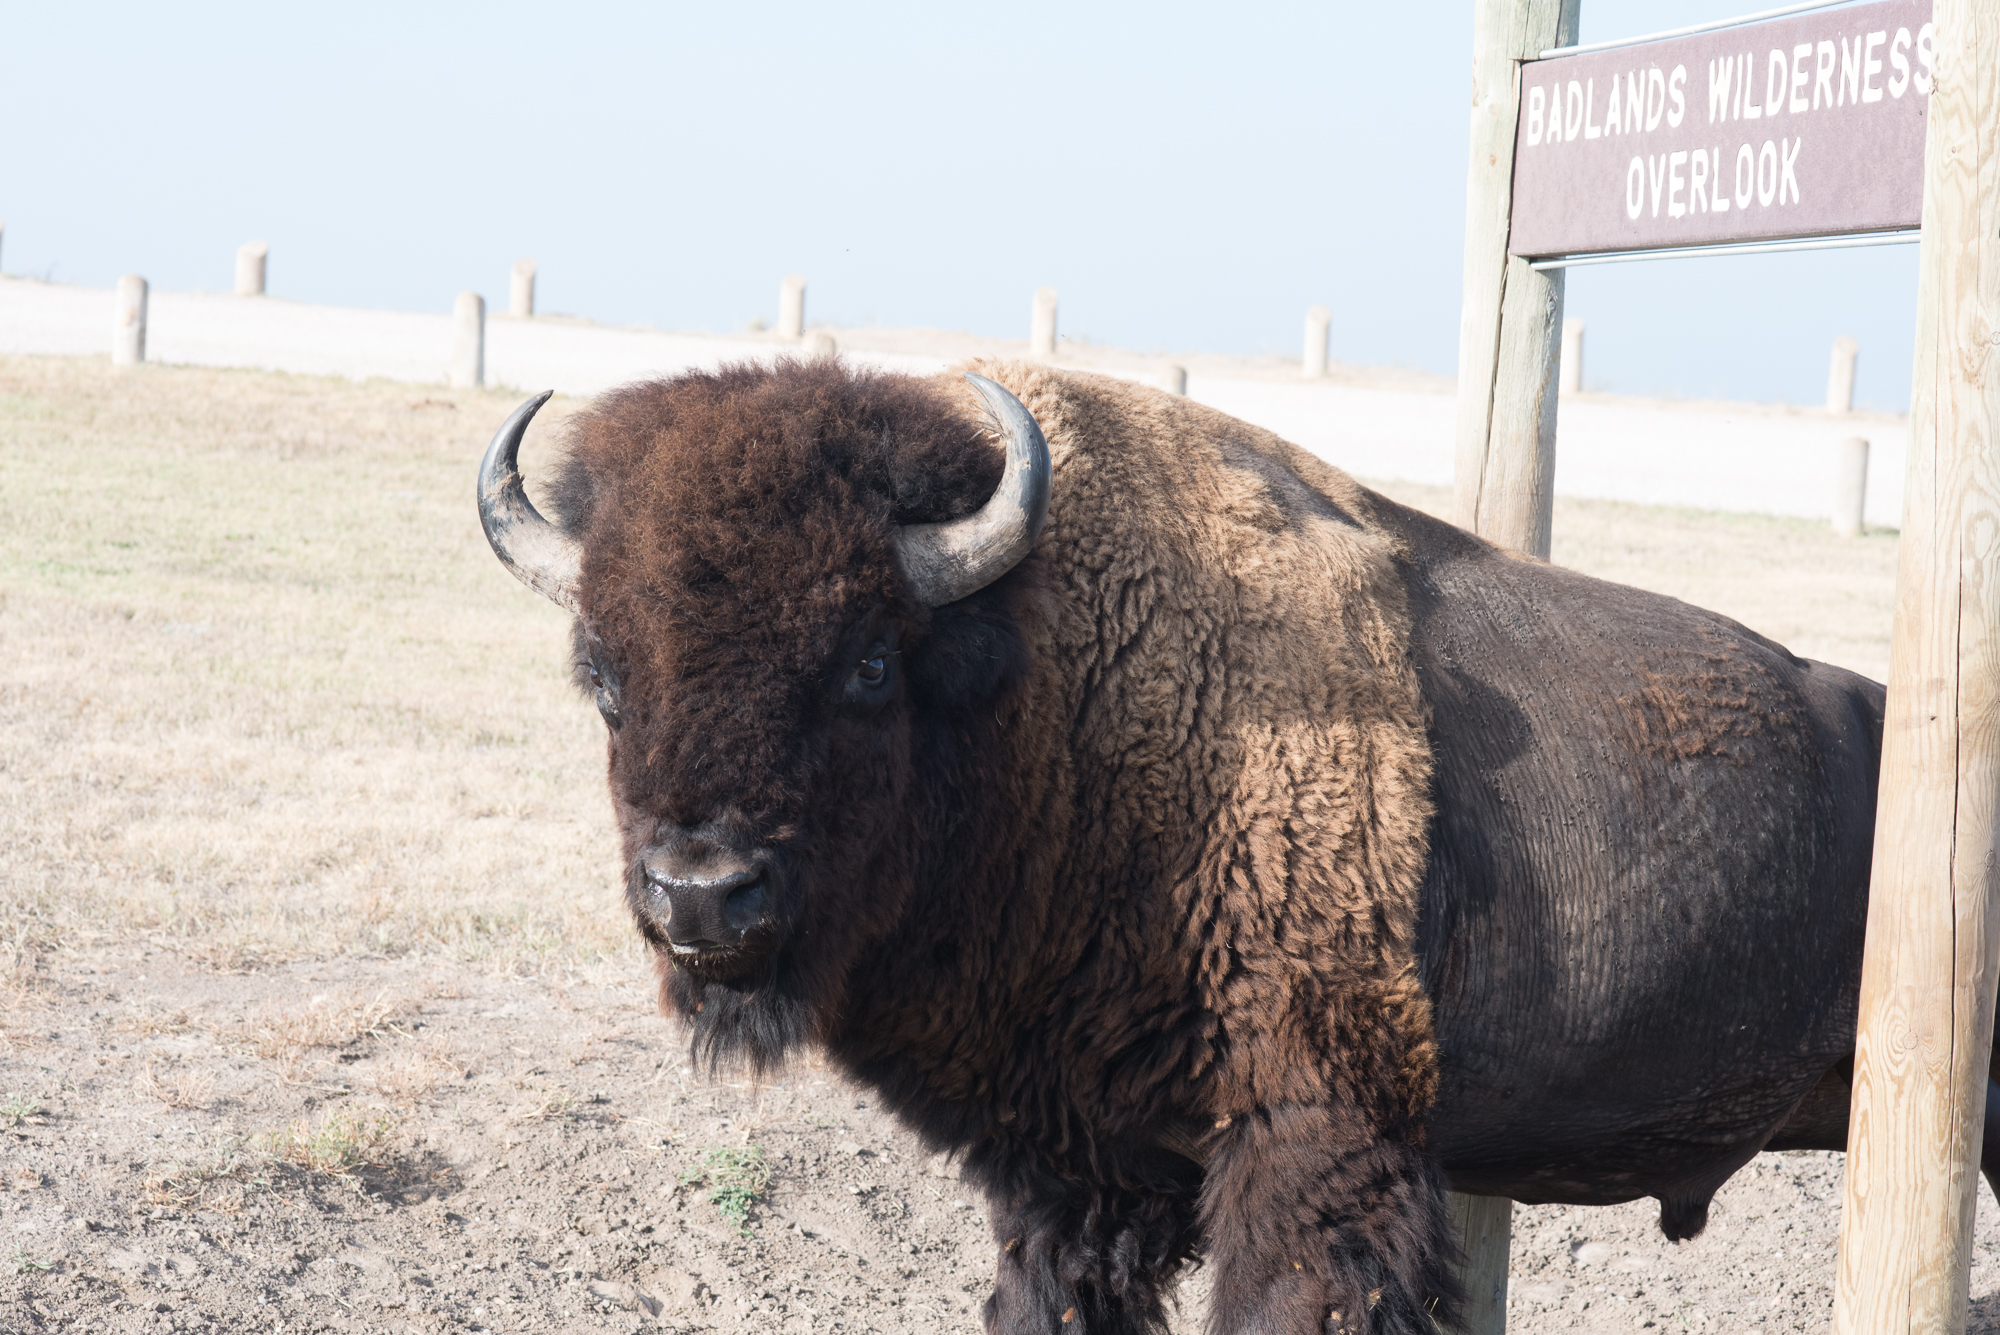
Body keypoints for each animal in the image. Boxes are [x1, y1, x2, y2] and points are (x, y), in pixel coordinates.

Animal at [476, 359, 1928, 1335]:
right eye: (603, 676)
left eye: (871, 662)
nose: (702, 897)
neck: (1050, 683)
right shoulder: (1073, 1166)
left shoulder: (1313, 1144)